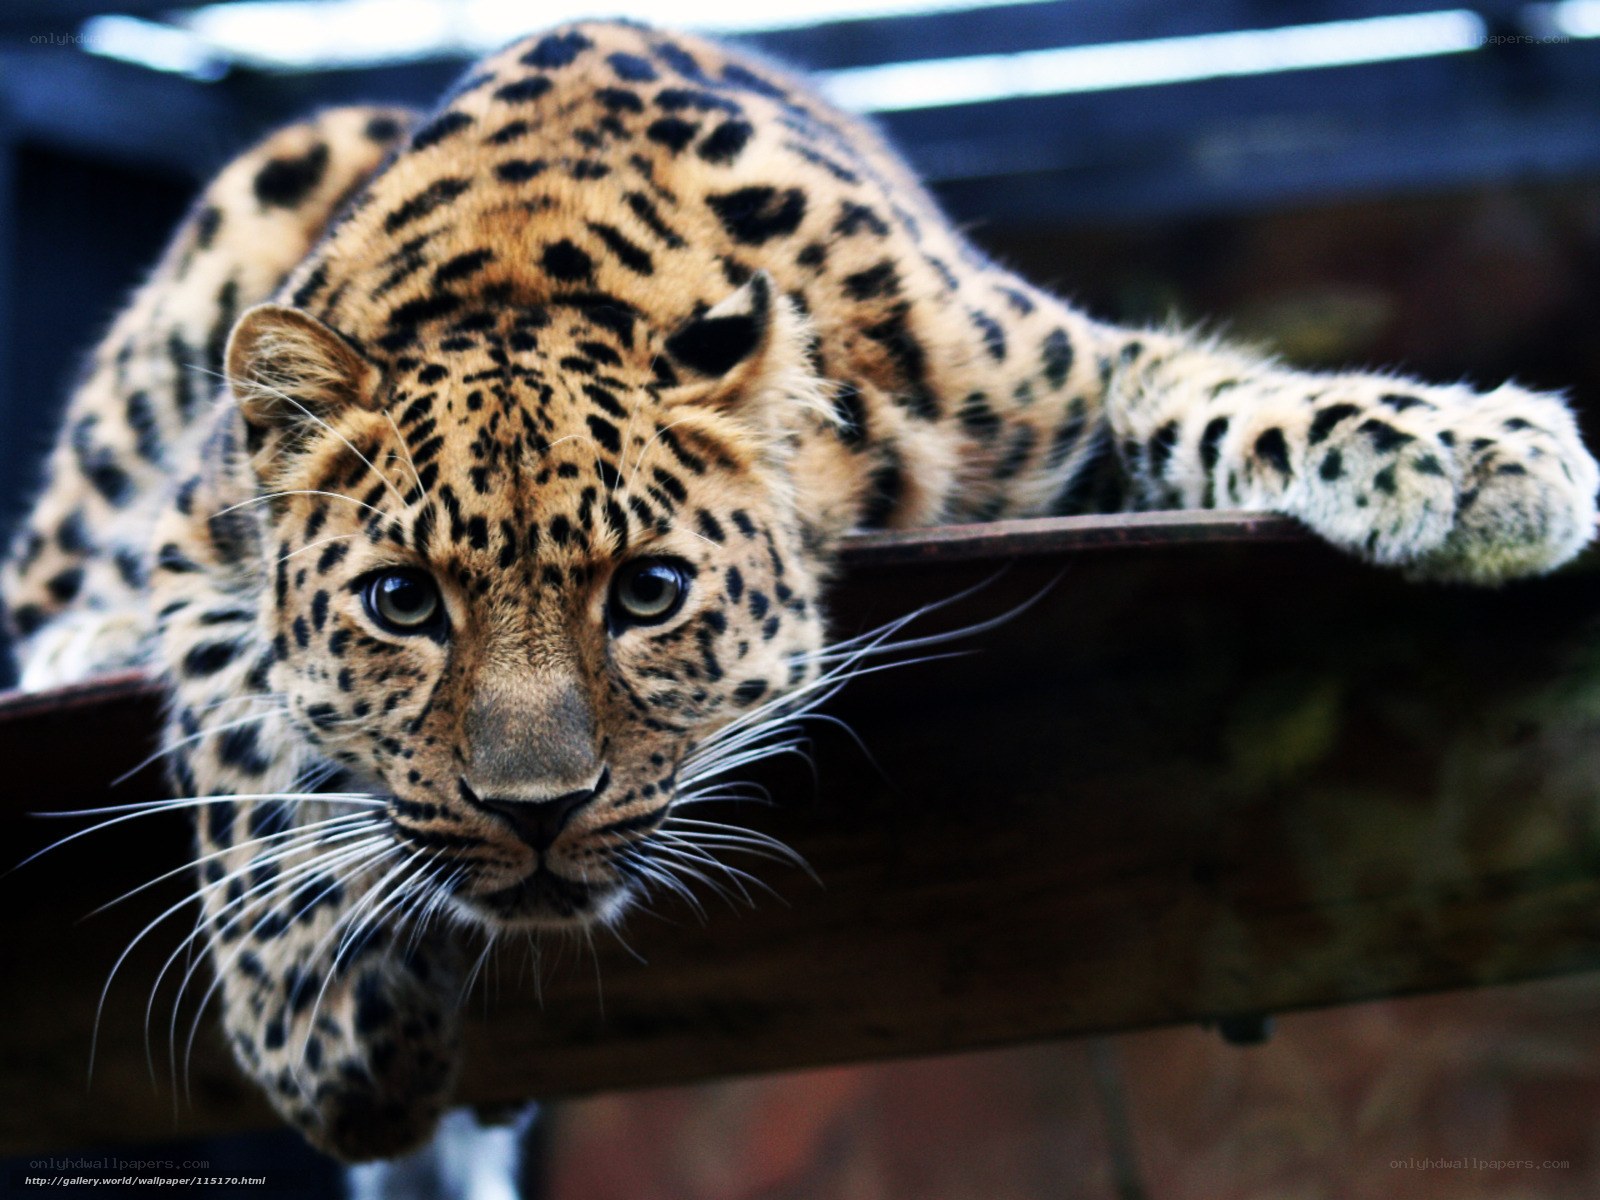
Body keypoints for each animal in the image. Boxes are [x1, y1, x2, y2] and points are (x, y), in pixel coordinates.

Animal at [3, 20, 1596, 1162]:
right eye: (403, 604)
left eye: (649, 592)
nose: (534, 814)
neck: (526, 272)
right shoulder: (202, 546)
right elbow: (242, 765)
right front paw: (332, 1036)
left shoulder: (1059, 384)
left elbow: (1219, 395)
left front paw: (1479, 459)